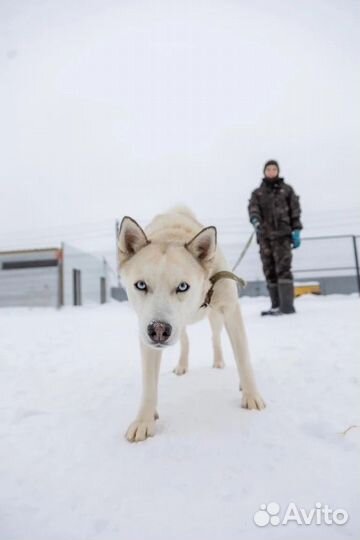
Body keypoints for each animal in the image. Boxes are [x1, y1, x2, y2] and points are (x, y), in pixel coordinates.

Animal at [118, 207, 264, 442]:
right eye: (140, 285)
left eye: (183, 286)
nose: (158, 330)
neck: (171, 235)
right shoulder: (145, 333)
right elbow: (149, 382)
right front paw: (145, 420)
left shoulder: (231, 310)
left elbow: (243, 359)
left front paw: (252, 397)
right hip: (179, 326)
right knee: (185, 342)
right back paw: (182, 365)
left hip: (215, 318)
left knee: (216, 339)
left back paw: (220, 363)